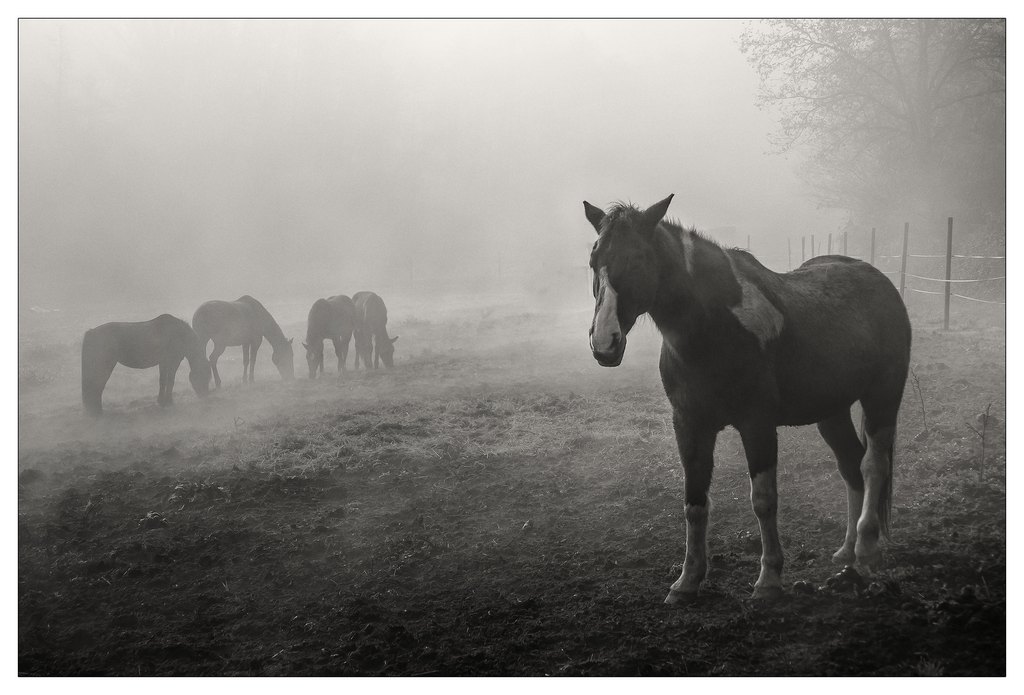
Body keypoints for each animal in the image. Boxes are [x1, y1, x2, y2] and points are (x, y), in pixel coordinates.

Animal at [81, 314, 211, 416]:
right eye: (204, 377)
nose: (205, 397)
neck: (179, 334)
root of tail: (91, 332)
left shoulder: (163, 362)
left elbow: (163, 381)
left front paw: (162, 401)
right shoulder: (172, 361)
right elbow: (170, 381)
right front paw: (168, 402)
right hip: (105, 366)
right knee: (97, 385)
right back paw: (97, 411)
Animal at [582, 195, 911, 603]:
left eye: (639, 259)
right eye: (594, 261)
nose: (604, 342)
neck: (714, 327)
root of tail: (879, 280)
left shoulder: (757, 425)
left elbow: (764, 499)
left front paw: (769, 578)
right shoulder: (689, 426)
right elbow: (694, 502)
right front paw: (688, 580)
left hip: (883, 396)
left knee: (873, 465)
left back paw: (866, 547)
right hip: (831, 411)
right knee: (851, 464)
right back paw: (847, 551)